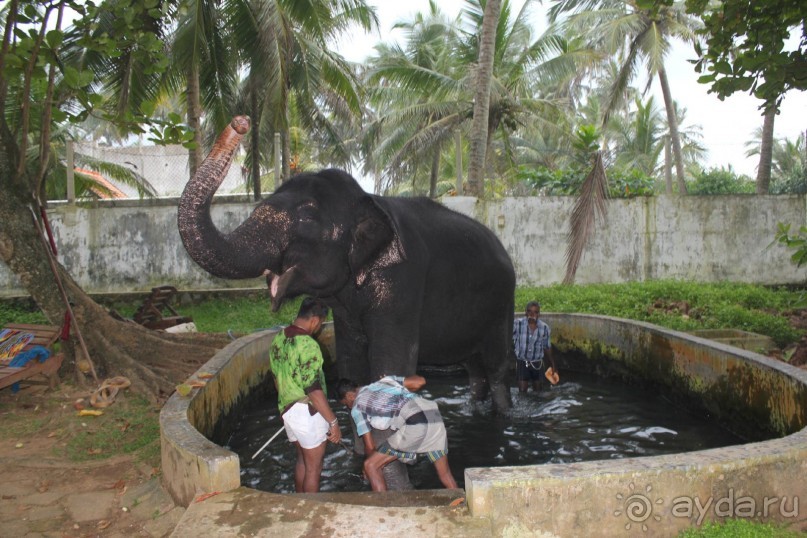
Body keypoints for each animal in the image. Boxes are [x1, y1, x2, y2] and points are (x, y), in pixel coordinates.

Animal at [178, 117, 516, 410]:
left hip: (502, 305)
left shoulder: (401, 282)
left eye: (306, 217)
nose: (240, 123)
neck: (368, 200)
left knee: (497, 368)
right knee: (474, 368)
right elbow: (352, 361)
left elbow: (390, 365)